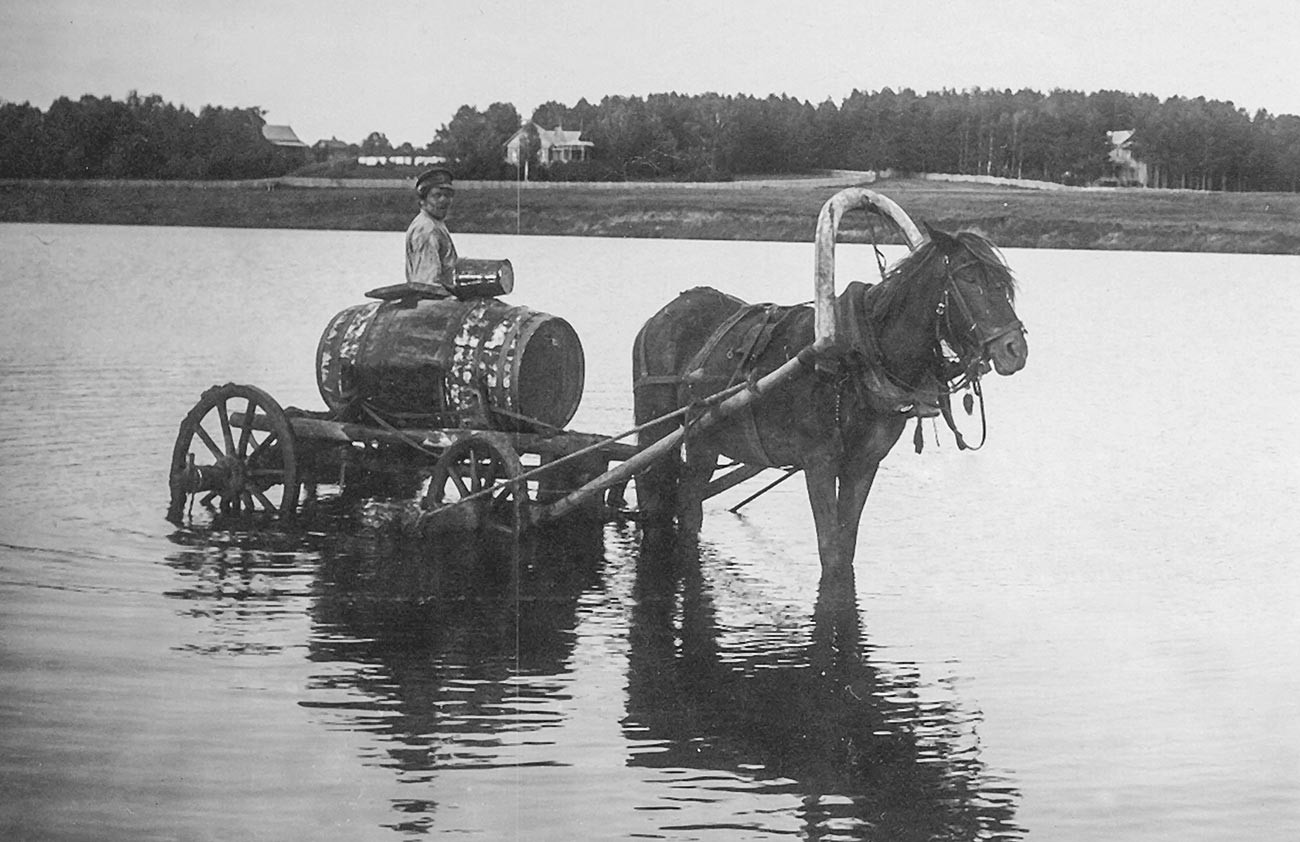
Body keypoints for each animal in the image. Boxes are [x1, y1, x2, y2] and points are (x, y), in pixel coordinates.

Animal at [629, 191, 1024, 571]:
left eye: (1004, 284)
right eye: (969, 279)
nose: (1015, 349)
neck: (857, 355)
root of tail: (659, 316)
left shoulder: (864, 463)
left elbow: (844, 547)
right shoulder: (818, 461)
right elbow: (829, 550)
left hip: (703, 442)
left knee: (686, 503)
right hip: (659, 428)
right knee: (656, 497)